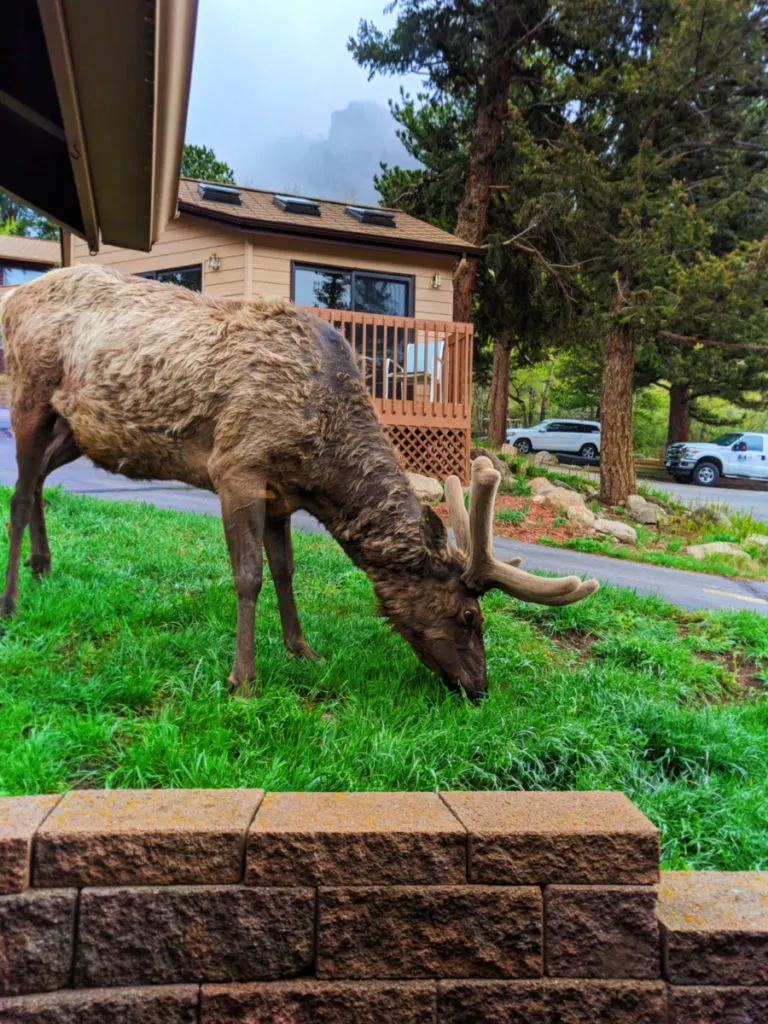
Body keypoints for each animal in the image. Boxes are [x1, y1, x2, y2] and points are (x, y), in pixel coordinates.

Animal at [0, 264, 602, 700]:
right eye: (468, 615)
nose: (480, 688)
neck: (320, 462)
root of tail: (15, 297)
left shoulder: (281, 494)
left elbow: (286, 571)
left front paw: (301, 648)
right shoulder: (237, 466)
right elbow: (249, 576)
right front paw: (243, 679)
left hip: (79, 429)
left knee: (39, 481)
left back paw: (43, 564)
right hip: (30, 391)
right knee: (19, 493)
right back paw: (11, 602)